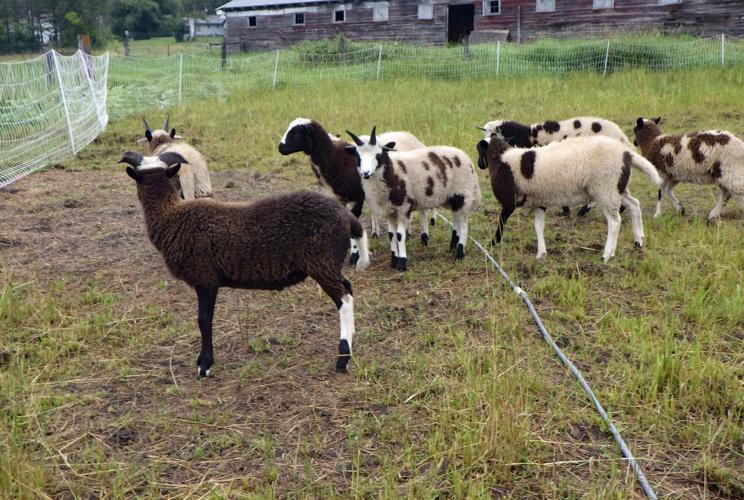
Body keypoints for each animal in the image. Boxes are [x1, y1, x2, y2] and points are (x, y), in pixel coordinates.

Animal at [118, 150, 370, 376]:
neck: (171, 216)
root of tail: (346, 217)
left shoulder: (205, 279)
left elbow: (204, 320)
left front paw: (205, 365)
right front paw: (201, 360)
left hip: (322, 262)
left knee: (343, 300)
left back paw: (343, 359)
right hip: (329, 263)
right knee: (348, 288)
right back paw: (353, 337)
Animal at [278, 118, 432, 241]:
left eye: (296, 132)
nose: (280, 148)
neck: (335, 157)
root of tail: (408, 134)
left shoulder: (357, 197)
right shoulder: (338, 197)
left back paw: (421, 233)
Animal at [346, 127, 481, 272]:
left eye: (378, 155)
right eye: (358, 156)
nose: (365, 173)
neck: (392, 172)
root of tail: (465, 157)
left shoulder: (403, 206)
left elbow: (400, 235)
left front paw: (402, 264)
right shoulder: (389, 210)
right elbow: (391, 235)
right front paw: (393, 261)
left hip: (462, 194)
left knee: (464, 227)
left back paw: (459, 255)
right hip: (454, 199)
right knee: (456, 221)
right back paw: (452, 247)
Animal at [476, 135, 663, 261]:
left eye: (478, 149)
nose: (480, 164)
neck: (500, 160)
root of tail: (626, 153)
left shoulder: (509, 202)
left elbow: (501, 224)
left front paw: (492, 243)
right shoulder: (540, 201)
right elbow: (538, 227)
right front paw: (541, 253)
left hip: (605, 188)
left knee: (615, 222)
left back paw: (607, 255)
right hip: (617, 188)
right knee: (634, 204)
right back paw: (638, 240)